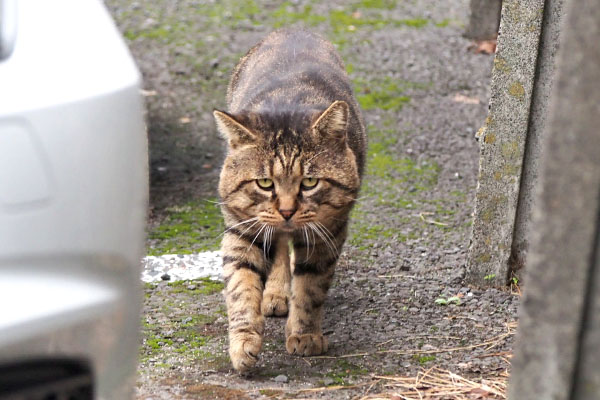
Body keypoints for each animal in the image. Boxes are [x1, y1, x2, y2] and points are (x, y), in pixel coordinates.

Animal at [213, 29, 368, 374]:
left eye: (309, 183)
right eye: (264, 183)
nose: (286, 210)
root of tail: (294, 29)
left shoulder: (329, 231)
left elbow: (310, 287)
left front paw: (305, 334)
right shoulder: (243, 229)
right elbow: (241, 286)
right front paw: (243, 343)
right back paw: (275, 292)